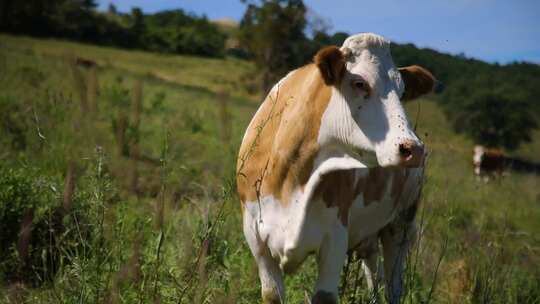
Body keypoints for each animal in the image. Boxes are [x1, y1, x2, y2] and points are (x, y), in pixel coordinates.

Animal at [236, 33, 434, 304]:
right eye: (360, 83)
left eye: (402, 91)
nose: (413, 148)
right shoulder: (256, 240)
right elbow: (272, 293)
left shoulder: (335, 238)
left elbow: (324, 295)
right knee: (373, 273)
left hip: (401, 223)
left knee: (393, 286)